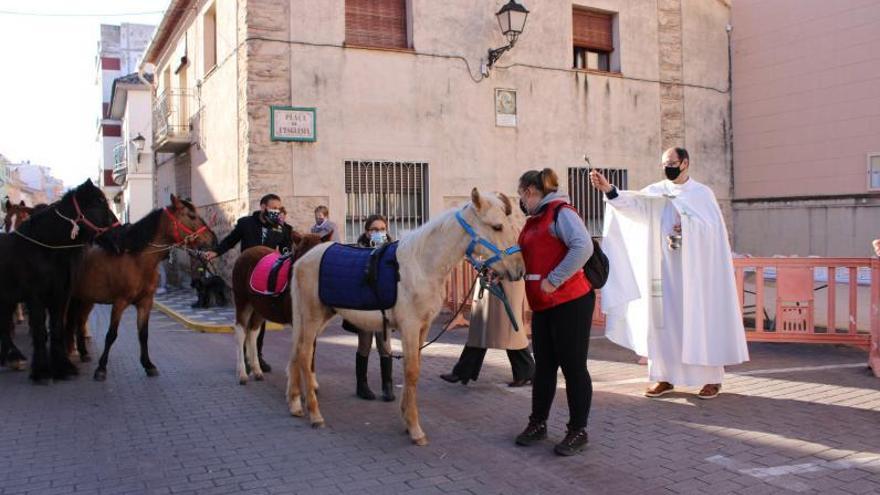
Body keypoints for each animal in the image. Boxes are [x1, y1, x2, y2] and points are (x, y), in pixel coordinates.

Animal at [0, 180, 117, 382]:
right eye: (99, 202)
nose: (120, 230)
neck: (44, 251)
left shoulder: (60, 296)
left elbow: (56, 328)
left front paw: (63, 367)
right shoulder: (36, 299)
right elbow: (40, 331)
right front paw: (41, 372)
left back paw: (13, 358)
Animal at [64, 196, 217, 382]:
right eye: (191, 216)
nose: (213, 239)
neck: (137, 259)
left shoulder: (145, 303)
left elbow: (143, 334)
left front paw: (148, 364)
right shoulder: (120, 303)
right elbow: (111, 334)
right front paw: (101, 368)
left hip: (86, 299)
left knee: (79, 322)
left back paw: (83, 352)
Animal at [229, 231, 332, 386]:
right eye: (300, 255)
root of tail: (245, 253)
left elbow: (311, 350)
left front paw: (312, 382)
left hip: (259, 308)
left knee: (252, 333)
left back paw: (257, 370)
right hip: (242, 301)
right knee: (241, 332)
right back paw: (242, 373)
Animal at [288, 189, 524, 446]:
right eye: (497, 226)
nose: (519, 269)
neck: (421, 266)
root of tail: (301, 261)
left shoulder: (423, 327)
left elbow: (413, 368)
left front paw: (406, 419)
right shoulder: (409, 327)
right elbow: (411, 371)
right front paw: (415, 429)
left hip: (316, 318)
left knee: (298, 353)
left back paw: (296, 405)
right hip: (312, 318)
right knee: (304, 355)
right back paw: (315, 415)